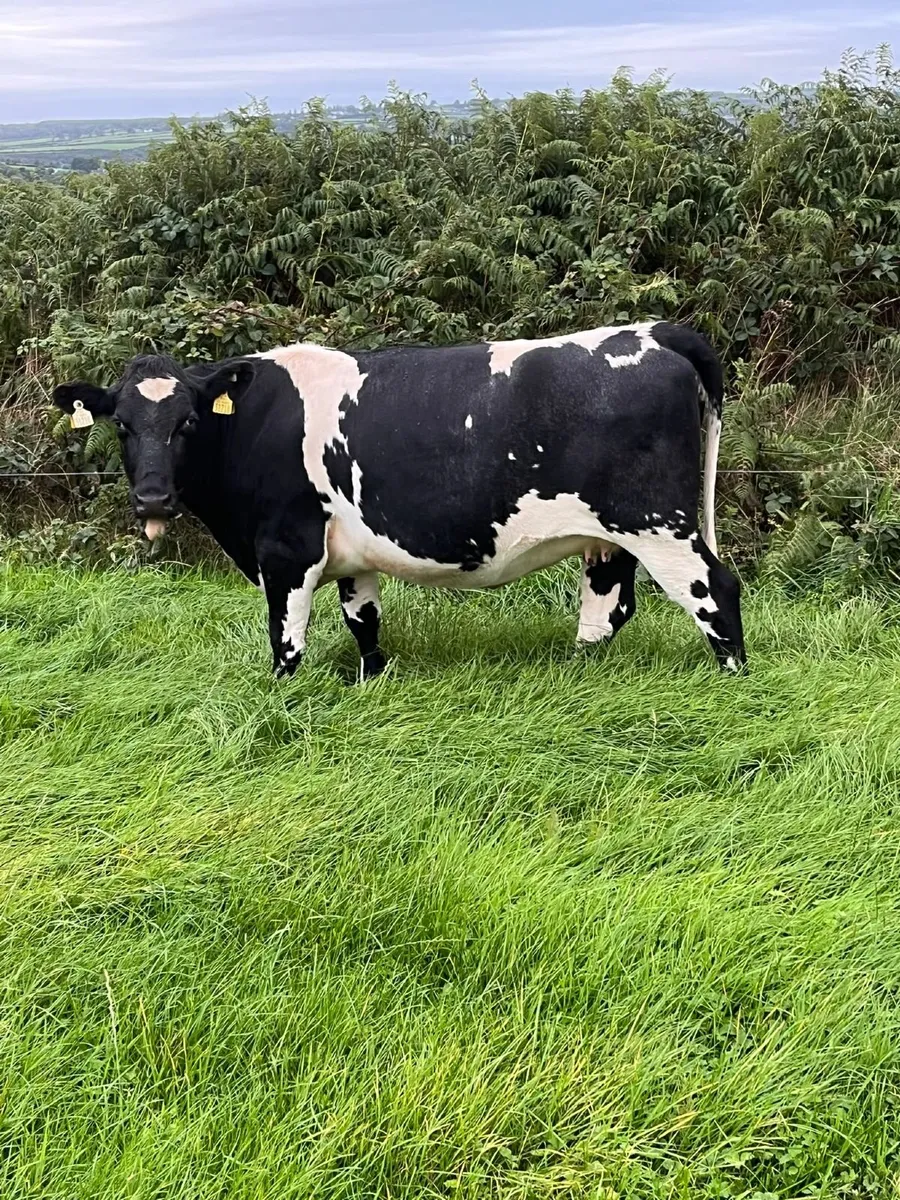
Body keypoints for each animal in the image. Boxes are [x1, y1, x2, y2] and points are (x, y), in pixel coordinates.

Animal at [53, 321, 745, 679]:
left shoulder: (287, 550)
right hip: (611, 534)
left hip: (660, 524)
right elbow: (364, 621)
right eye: (123, 425)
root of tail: (656, 330)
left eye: (188, 423)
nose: (152, 497)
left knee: (715, 589)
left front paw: (282, 698)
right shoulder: (351, 555)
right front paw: (372, 678)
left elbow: (286, 639)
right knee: (608, 605)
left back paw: (732, 676)